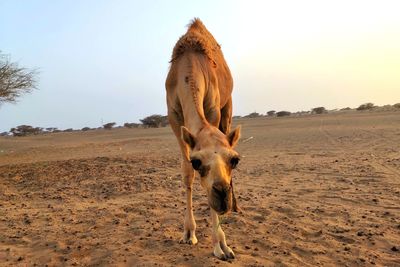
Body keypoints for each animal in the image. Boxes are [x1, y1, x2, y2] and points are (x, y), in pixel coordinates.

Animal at [166, 17, 241, 260]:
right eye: (196, 162)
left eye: (235, 160)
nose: (222, 196)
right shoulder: (173, 116)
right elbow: (186, 174)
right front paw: (189, 232)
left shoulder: (214, 109)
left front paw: (221, 245)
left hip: (228, 106)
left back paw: (236, 205)